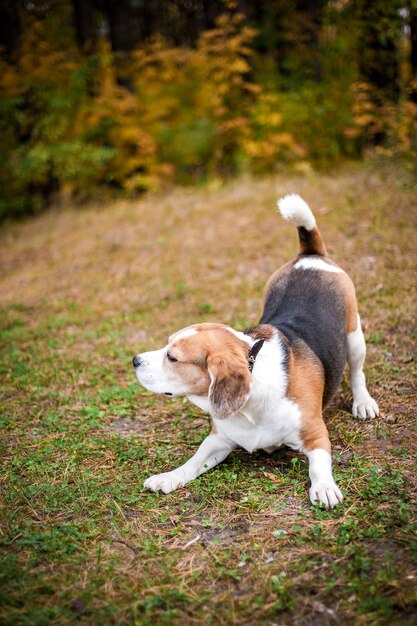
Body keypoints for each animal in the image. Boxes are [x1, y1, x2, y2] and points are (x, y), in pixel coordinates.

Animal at [132, 195, 378, 508]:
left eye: (172, 357)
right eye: (166, 344)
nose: (134, 360)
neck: (253, 396)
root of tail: (309, 256)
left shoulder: (316, 434)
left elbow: (319, 465)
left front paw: (324, 486)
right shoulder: (218, 439)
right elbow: (193, 460)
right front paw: (169, 477)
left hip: (354, 336)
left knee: (357, 371)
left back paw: (363, 402)